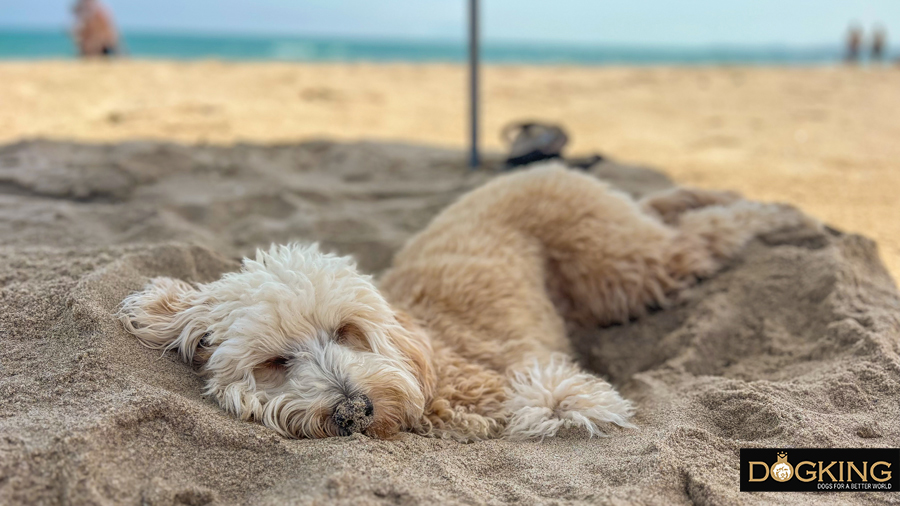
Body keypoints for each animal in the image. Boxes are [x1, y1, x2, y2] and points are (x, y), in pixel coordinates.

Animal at [118, 164, 816, 440]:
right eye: (273, 363)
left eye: (346, 331)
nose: (353, 408)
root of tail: (538, 167)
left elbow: (555, 397)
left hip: (621, 265)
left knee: (703, 233)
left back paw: (771, 213)